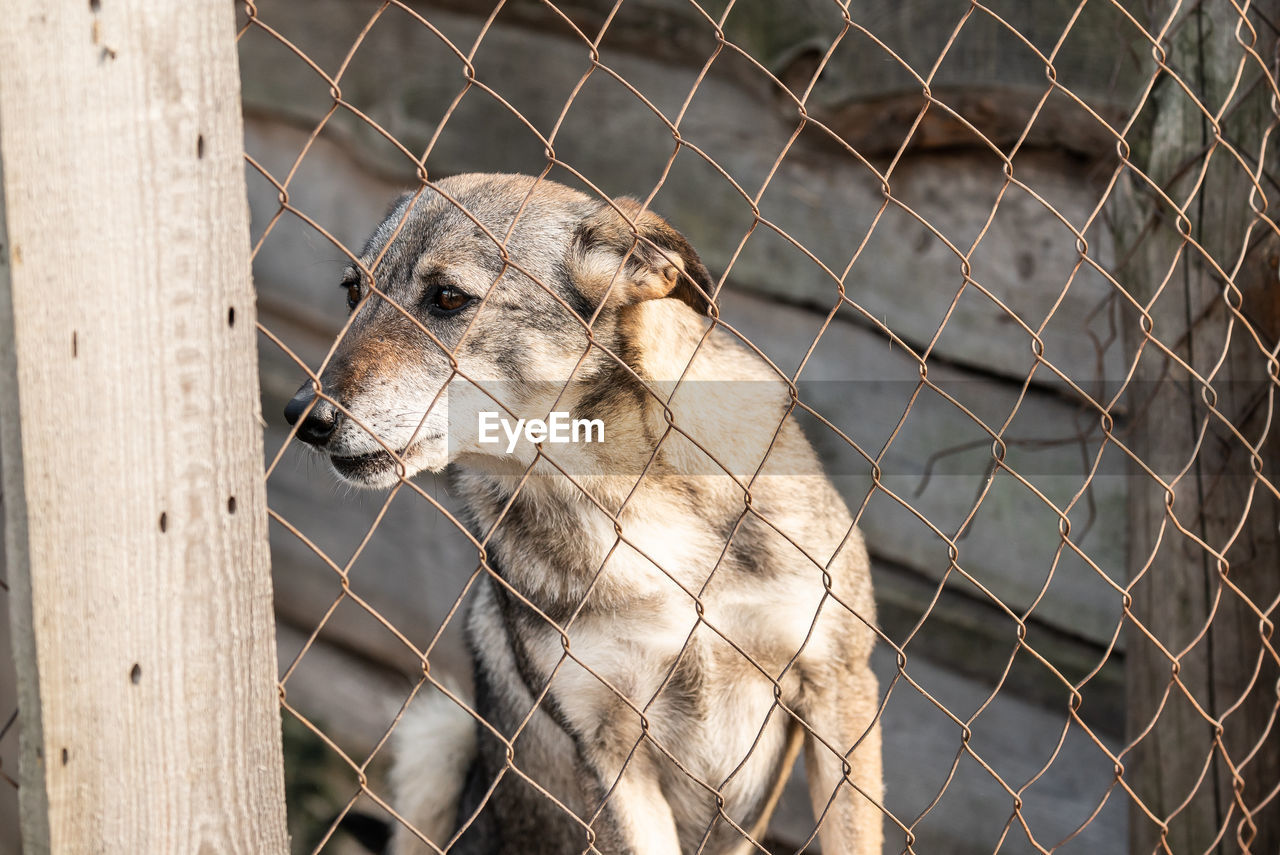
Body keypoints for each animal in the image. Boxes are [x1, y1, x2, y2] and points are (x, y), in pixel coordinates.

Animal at [282, 175, 880, 855]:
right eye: (352, 292)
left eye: (447, 298)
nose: (302, 417)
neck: (625, 496)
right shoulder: (610, 747)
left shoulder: (838, 686)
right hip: (437, 740)